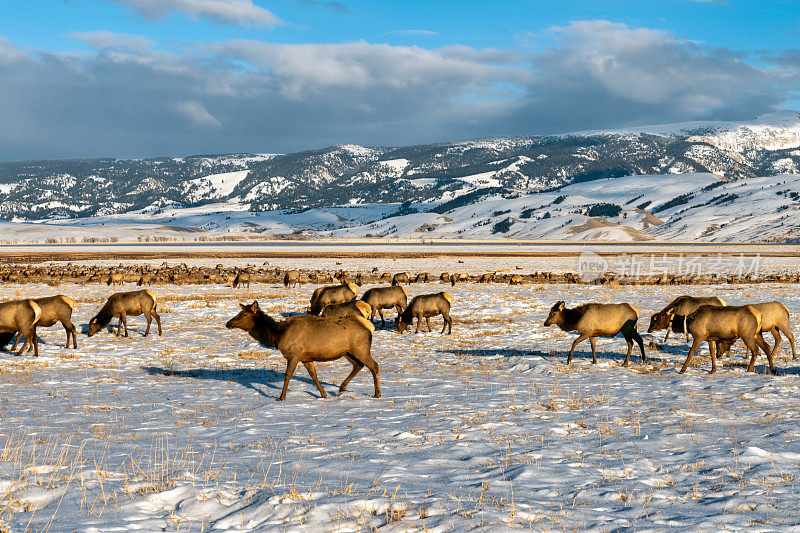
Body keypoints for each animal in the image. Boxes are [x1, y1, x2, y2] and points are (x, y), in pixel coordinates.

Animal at [222, 302, 378, 402]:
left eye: (244, 314)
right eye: (240, 312)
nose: (228, 323)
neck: (278, 335)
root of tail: (369, 327)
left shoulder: (294, 354)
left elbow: (287, 376)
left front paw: (281, 397)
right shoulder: (305, 358)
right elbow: (313, 375)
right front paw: (323, 394)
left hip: (360, 349)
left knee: (374, 366)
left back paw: (377, 394)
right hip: (348, 352)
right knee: (358, 365)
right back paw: (342, 388)